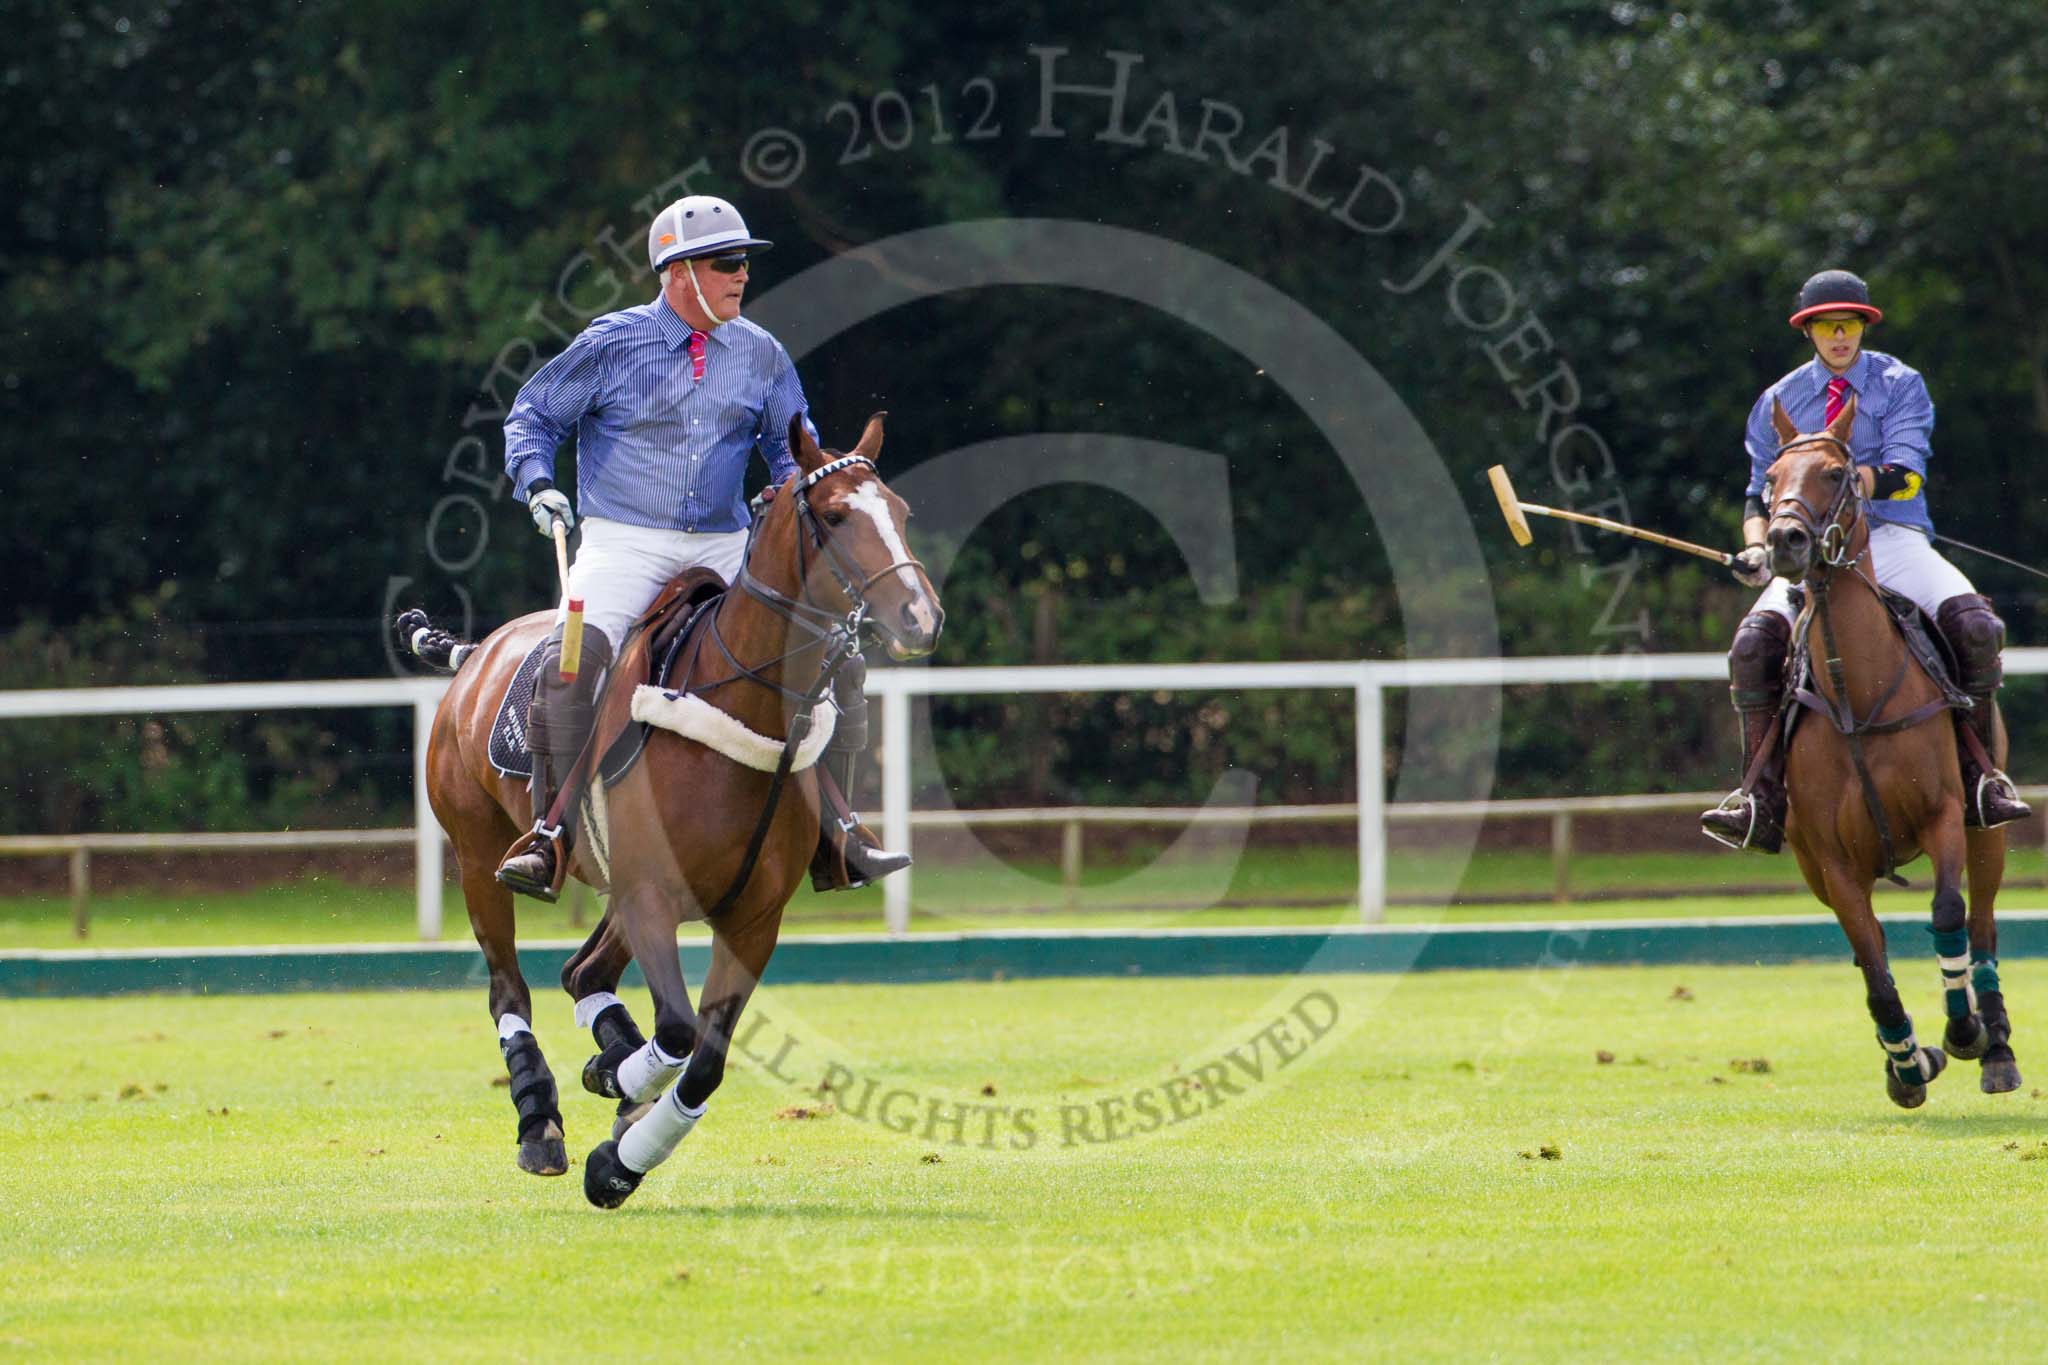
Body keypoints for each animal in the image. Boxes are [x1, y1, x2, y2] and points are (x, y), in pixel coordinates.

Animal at [409, 411, 950, 1203]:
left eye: (902, 513)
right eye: (833, 515)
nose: (920, 617)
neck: (740, 701)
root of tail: (477, 652)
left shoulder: (752, 918)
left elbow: (706, 1057)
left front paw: (621, 1151)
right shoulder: (651, 895)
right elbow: (677, 1031)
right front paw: (615, 1107)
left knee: (583, 974)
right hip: (479, 855)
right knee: (510, 987)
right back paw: (540, 1122)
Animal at [1761, 394, 2015, 1113]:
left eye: (1835, 473)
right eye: (1771, 477)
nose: (1783, 541)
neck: (1860, 695)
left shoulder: (1943, 816)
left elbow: (1948, 913)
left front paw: (1963, 1031)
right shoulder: (1831, 861)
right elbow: (1872, 963)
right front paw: (1909, 1062)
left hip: (1987, 829)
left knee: (1982, 922)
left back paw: (1996, 1046)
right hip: (1812, 866)